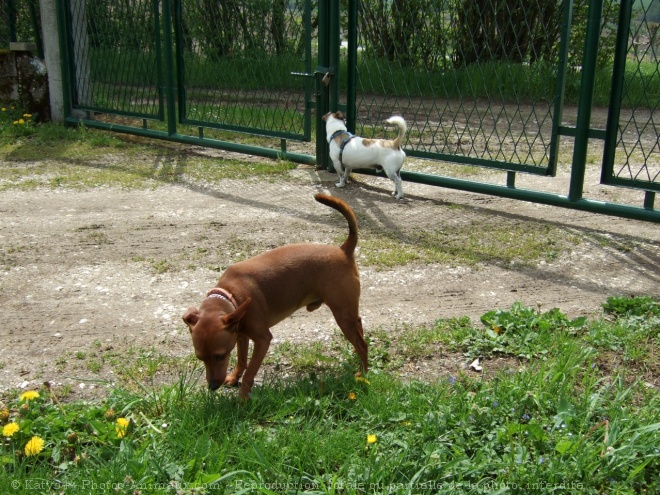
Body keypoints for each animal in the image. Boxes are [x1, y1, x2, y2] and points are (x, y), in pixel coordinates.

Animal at [182, 194, 366, 400]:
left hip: (342, 315)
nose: (213, 386)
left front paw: (243, 399)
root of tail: (343, 250)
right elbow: (242, 360)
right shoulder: (240, 334)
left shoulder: (263, 339)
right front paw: (235, 377)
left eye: (220, 356)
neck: (231, 293)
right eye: (200, 358)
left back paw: (364, 373)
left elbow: (250, 372)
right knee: (360, 328)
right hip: (348, 315)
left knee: (363, 345)